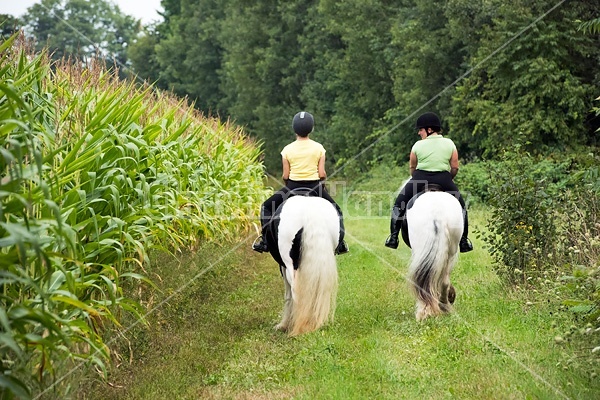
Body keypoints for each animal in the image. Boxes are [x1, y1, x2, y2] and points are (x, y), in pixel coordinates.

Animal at [264, 195, 340, 336]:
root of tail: (310, 212)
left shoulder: (283, 267)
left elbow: (288, 294)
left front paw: (283, 325)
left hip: (289, 265)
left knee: (295, 292)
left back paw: (296, 325)